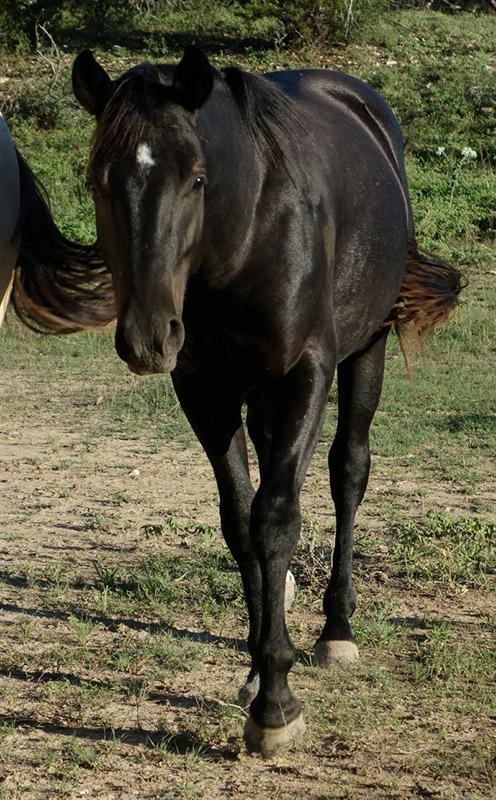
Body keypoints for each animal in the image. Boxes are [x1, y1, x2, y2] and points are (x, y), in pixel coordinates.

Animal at [45, 47, 462, 760]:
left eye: (197, 178)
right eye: (98, 180)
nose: (148, 336)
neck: (243, 240)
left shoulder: (305, 373)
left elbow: (277, 519)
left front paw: (277, 705)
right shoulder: (204, 390)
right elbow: (242, 523)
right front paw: (258, 667)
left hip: (365, 351)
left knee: (348, 471)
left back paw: (336, 628)